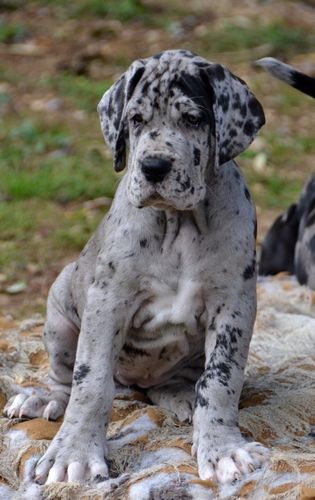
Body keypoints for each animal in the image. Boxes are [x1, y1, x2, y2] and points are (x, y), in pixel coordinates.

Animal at [4, 50, 270, 484]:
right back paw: (42, 400)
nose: (154, 167)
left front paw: (222, 448)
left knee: (180, 383)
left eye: (193, 119)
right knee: (65, 378)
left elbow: (220, 380)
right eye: (135, 120)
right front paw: (74, 453)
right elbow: (91, 381)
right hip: (60, 311)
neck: (178, 224)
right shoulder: (107, 301)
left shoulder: (234, 304)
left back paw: (182, 398)